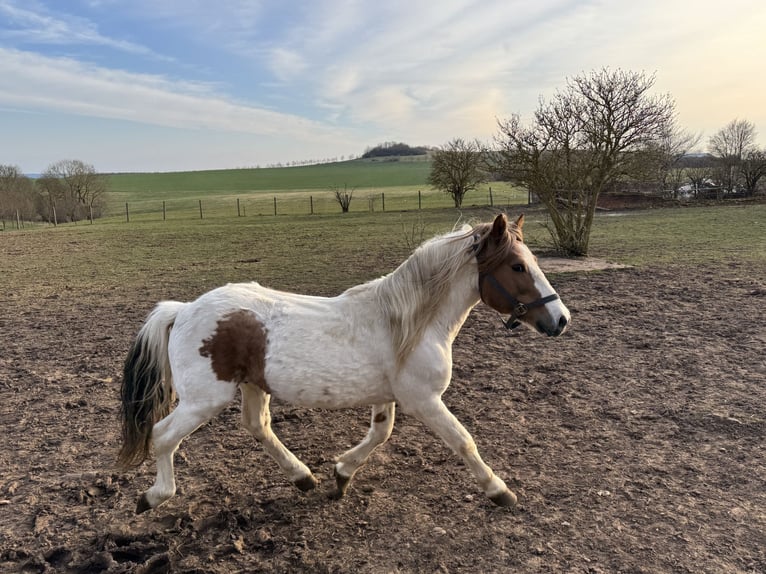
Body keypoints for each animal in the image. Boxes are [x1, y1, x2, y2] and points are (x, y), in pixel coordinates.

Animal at [118, 213, 570, 513]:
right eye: (517, 266)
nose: (561, 319)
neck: (409, 323)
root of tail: (183, 309)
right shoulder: (425, 400)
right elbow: (463, 440)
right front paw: (499, 490)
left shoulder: (389, 396)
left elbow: (380, 434)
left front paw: (341, 474)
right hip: (203, 400)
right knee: (162, 435)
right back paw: (153, 496)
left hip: (252, 386)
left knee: (257, 426)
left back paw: (303, 477)